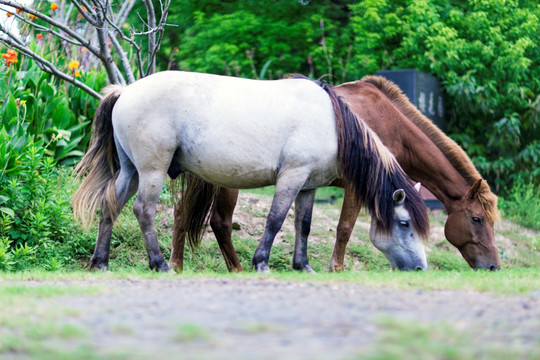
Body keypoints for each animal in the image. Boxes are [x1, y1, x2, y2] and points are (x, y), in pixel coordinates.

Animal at [71, 71, 428, 272]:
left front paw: (303, 266)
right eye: (404, 223)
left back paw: (100, 263)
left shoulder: (308, 186)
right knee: (143, 211)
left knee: (110, 206)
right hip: (151, 171)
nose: (421, 268)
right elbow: (275, 220)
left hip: (130, 171)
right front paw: (261, 262)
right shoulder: (291, 177)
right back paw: (159, 265)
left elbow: (303, 225)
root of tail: (126, 91)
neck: (331, 123)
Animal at [170, 76, 502, 272]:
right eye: (477, 219)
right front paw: (337, 268)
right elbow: (345, 228)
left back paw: (178, 264)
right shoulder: (358, 187)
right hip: (228, 181)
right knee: (220, 222)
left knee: (182, 213)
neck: (389, 125)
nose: (494, 267)